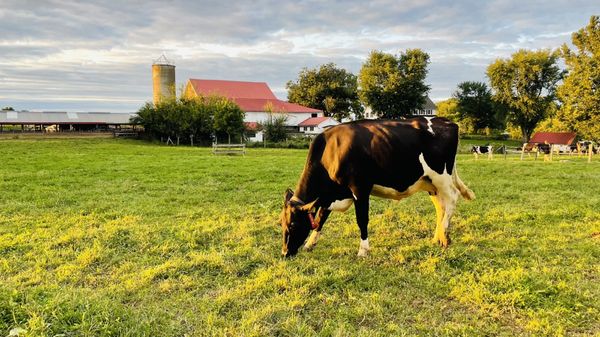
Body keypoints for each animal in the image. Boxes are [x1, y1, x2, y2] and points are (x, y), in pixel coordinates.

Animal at [278, 117, 476, 256]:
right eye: (281, 223)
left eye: (293, 224)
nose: (285, 253)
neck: (331, 151)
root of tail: (447, 121)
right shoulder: (331, 193)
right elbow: (321, 218)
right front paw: (310, 243)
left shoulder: (359, 188)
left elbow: (362, 220)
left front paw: (363, 250)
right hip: (430, 183)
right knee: (440, 207)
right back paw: (438, 237)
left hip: (441, 176)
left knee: (452, 199)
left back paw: (445, 235)